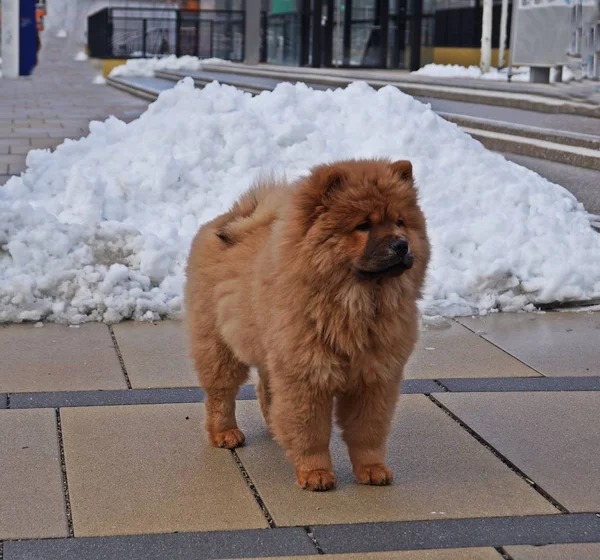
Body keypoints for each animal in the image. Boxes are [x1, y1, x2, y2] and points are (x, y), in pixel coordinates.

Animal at [185, 158, 428, 490]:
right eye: (363, 226)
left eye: (401, 222)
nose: (401, 245)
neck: (357, 304)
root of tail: (233, 216)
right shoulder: (306, 375)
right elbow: (311, 430)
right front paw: (316, 473)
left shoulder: (375, 377)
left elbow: (368, 430)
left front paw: (372, 469)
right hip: (219, 346)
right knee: (221, 394)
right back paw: (225, 433)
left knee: (266, 389)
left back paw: (275, 430)